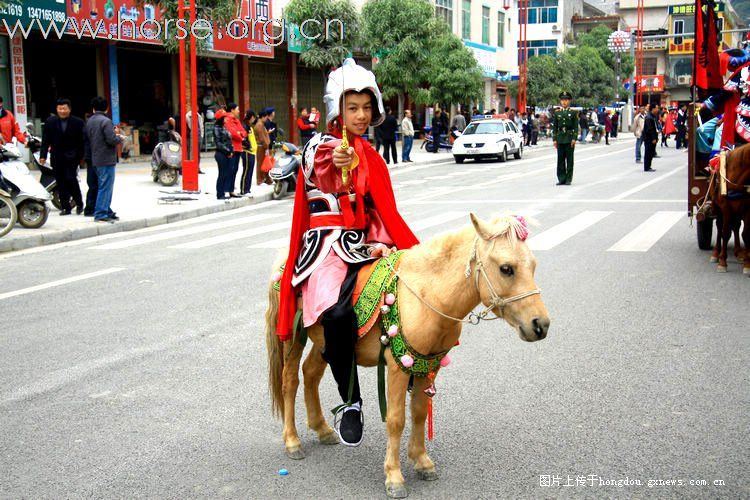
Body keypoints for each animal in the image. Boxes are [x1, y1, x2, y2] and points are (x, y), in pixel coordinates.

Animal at [264, 213, 552, 498]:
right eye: (506, 268)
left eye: (534, 266)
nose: (540, 325)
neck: (425, 293)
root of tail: (284, 259)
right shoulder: (397, 366)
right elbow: (396, 420)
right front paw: (394, 476)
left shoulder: (427, 363)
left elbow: (419, 413)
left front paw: (422, 461)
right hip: (293, 335)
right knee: (290, 380)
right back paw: (292, 441)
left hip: (324, 340)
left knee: (311, 372)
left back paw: (323, 429)